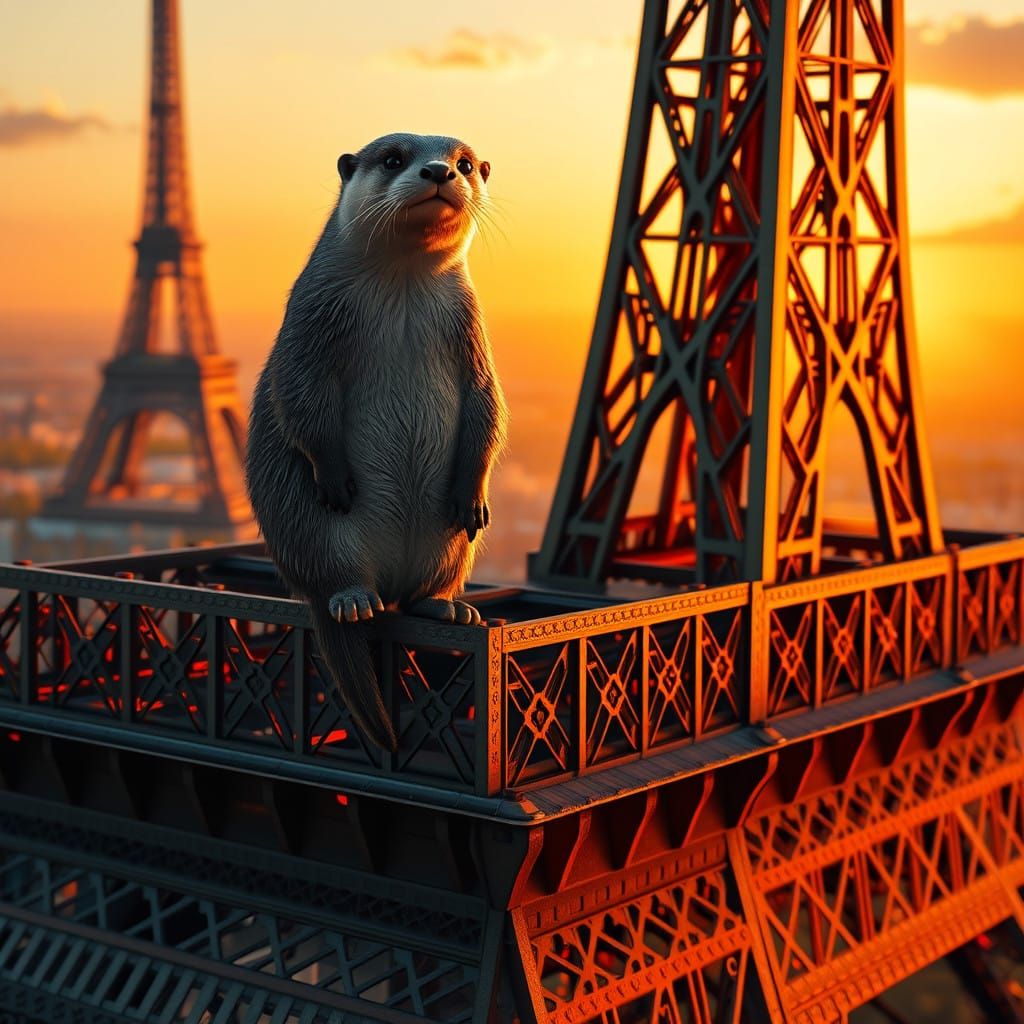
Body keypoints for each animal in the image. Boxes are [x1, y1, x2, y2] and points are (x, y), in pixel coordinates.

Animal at [245, 133, 508, 752]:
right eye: (393, 158)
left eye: (465, 163)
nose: (439, 170)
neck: (404, 290)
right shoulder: (310, 318)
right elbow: (301, 398)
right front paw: (335, 476)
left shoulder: (473, 331)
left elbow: (488, 407)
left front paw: (474, 494)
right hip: (309, 532)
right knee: (332, 577)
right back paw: (352, 601)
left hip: (450, 548)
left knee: (423, 588)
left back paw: (446, 608)